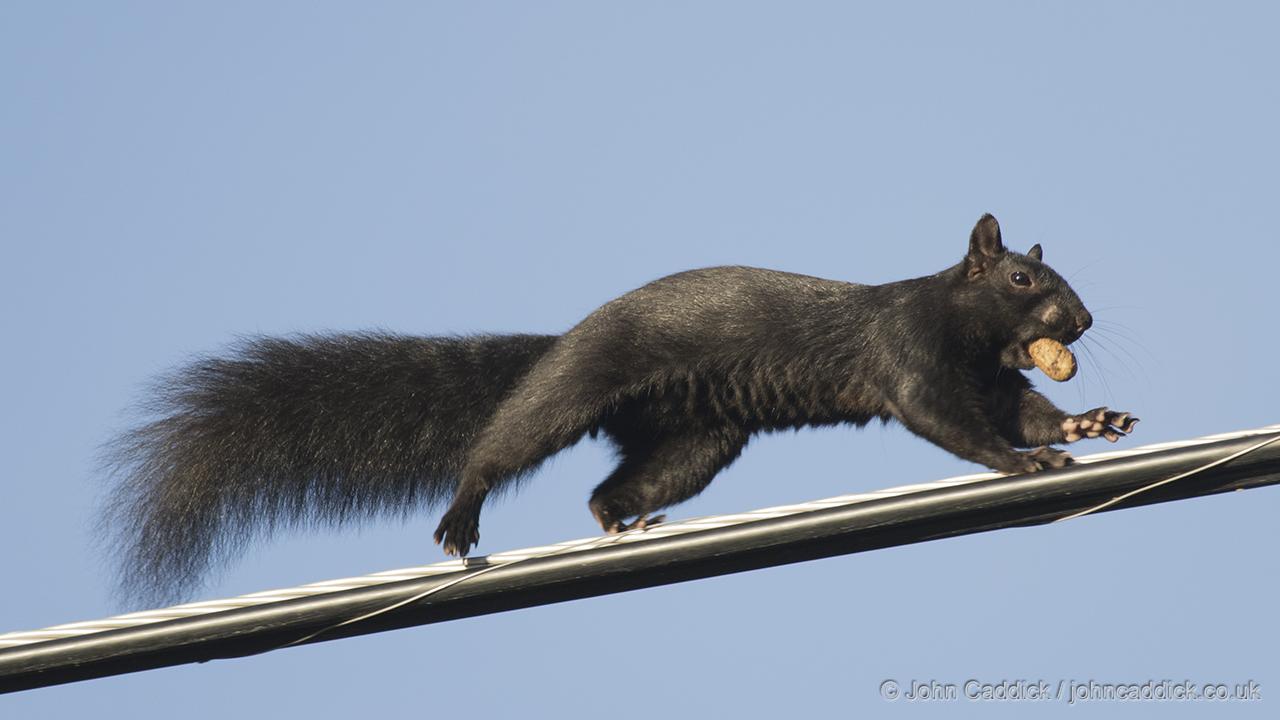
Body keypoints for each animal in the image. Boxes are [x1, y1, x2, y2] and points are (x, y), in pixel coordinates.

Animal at [103, 213, 1138, 603]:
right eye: (1020, 277)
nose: (1085, 321)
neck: (969, 332)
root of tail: (562, 340)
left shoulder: (999, 379)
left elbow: (1023, 412)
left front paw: (1085, 427)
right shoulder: (911, 358)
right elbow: (954, 424)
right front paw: (1027, 464)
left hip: (695, 438)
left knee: (611, 488)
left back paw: (630, 521)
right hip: (579, 387)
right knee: (504, 439)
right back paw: (463, 513)